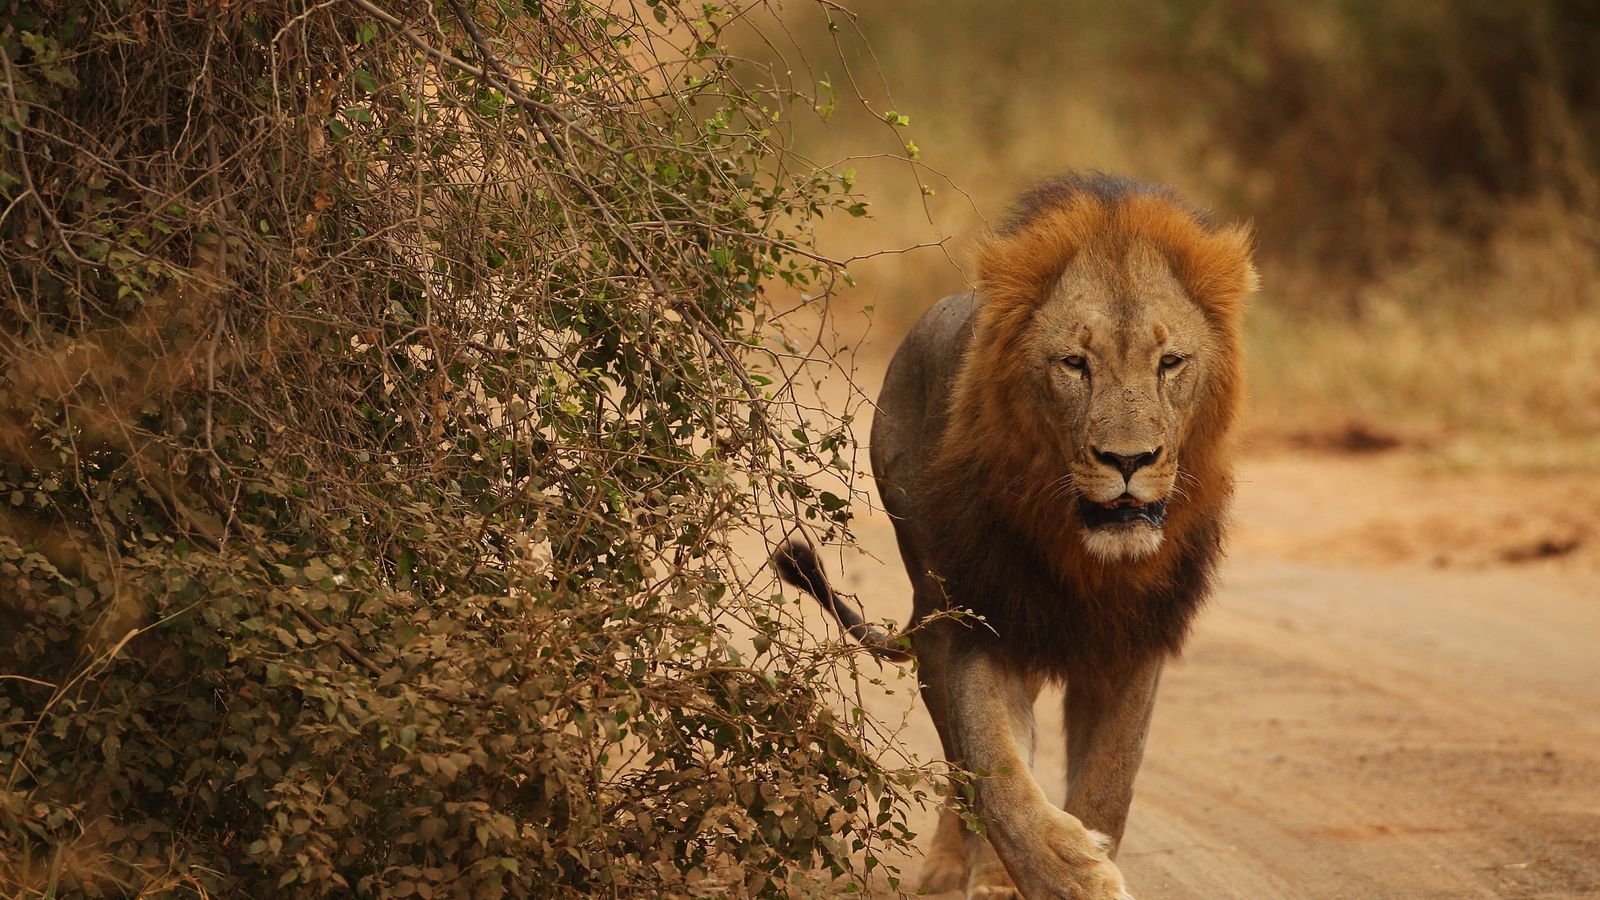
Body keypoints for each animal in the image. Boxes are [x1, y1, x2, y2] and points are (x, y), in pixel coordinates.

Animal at [768, 171, 1254, 890]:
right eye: (1074, 363)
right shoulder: (982, 624)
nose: (1129, 460)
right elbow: (993, 773)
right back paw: (954, 869)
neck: (1085, 556)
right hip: (933, 607)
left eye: (1170, 362)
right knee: (958, 763)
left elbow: (1109, 785)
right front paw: (1066, 876)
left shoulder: (1133, 643)